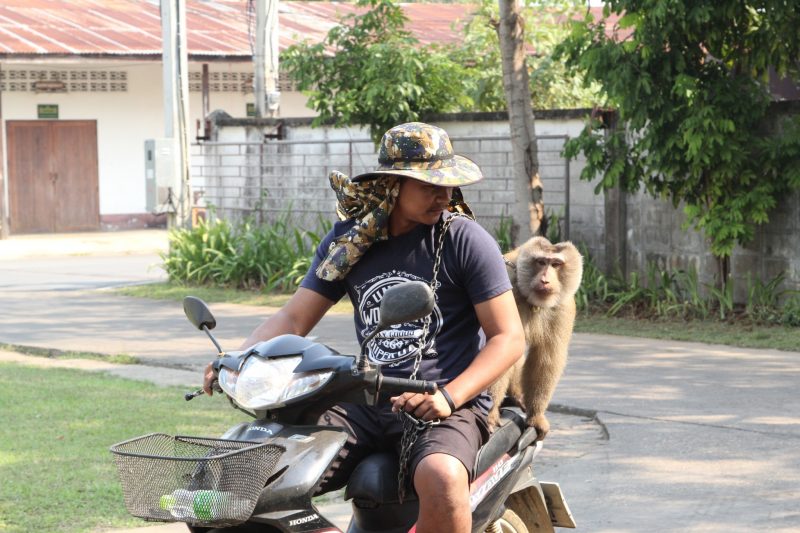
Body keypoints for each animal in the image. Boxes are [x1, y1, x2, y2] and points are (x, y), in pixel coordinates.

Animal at [488, 235, 580, 438]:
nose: (545, 280)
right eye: (541, 262)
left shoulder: (564, 307)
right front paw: (490, 412)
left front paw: (535, 415)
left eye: (555, 264)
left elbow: (546, 357)